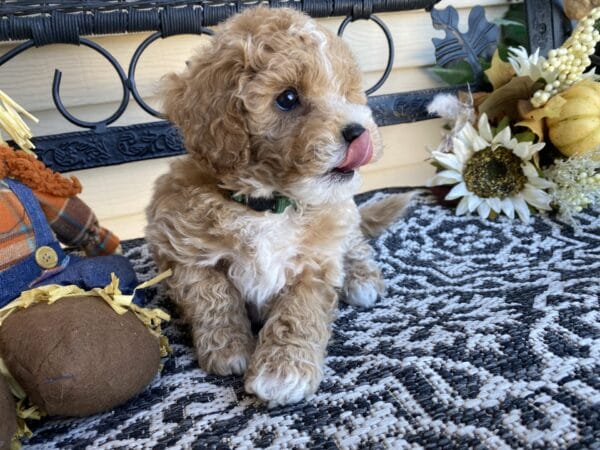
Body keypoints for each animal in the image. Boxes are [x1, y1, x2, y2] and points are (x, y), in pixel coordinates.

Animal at [148, 7, 412, 408]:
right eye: (287, 98)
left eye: (346, 93)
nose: (359, 132)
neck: (269, 205)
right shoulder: (183, 251)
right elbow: (212, 298)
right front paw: (228, 349)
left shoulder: (315, 263)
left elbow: (298, 313)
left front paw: (283, 370)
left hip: (344, 215)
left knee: (356, 243)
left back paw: (362, 279)